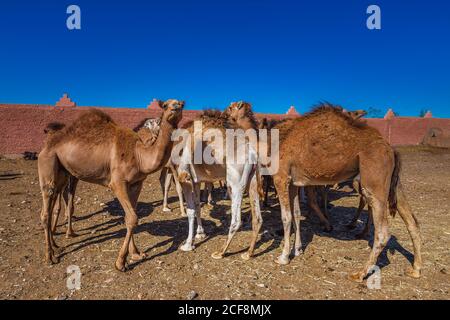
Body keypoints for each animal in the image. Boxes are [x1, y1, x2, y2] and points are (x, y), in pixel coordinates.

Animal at [37, 99, 184, 270]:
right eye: (165, 105)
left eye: (182, 104)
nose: (175, 107)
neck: (139, 155)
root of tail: (46, 146)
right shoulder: (117, 183)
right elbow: (132, 218)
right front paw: (120, 262)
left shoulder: (136, 184)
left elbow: (131, 217)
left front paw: (136, 254)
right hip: (48, 164)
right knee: (45, 210)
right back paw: (49, 257)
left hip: (62, 173)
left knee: (51, 205)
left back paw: (55, 245)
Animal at [174, 102, 262, 260]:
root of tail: (252, 154)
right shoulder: (196, 180)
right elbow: (197, 206)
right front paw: (200, 233)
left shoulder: (186, 180)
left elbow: (190, 210)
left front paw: (187, 244)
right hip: (252, 180)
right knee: (257, 218)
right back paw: (248, 253)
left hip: (235, 181)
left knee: (236, 220)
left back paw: (221, 252)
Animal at [270, 104, 422, 282]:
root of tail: (391, 149)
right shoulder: (294, 182)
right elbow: (296, 213)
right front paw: (298, 250)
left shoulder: (280, 176)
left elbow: (286, 217)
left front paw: (283, 257)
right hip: (393, 184)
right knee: (412, 222)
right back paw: (416, 269)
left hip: (374, 182)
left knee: (383, 232)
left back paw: (360, 273)